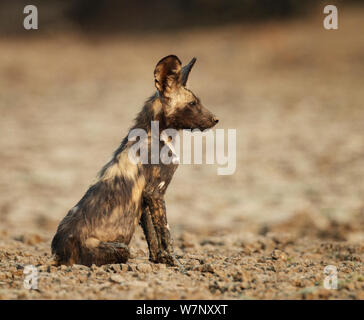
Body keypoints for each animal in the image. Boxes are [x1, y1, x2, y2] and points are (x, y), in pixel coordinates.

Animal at [51, 55, 219, 268]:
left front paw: (158, 261)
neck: (156, 134)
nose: (215, 119)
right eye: (192, 104)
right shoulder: (155, 193)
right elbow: (166, 234)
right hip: (121, 248)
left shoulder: (145, 199)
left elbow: (152, 238)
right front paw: (175, 264)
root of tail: (57, 253)